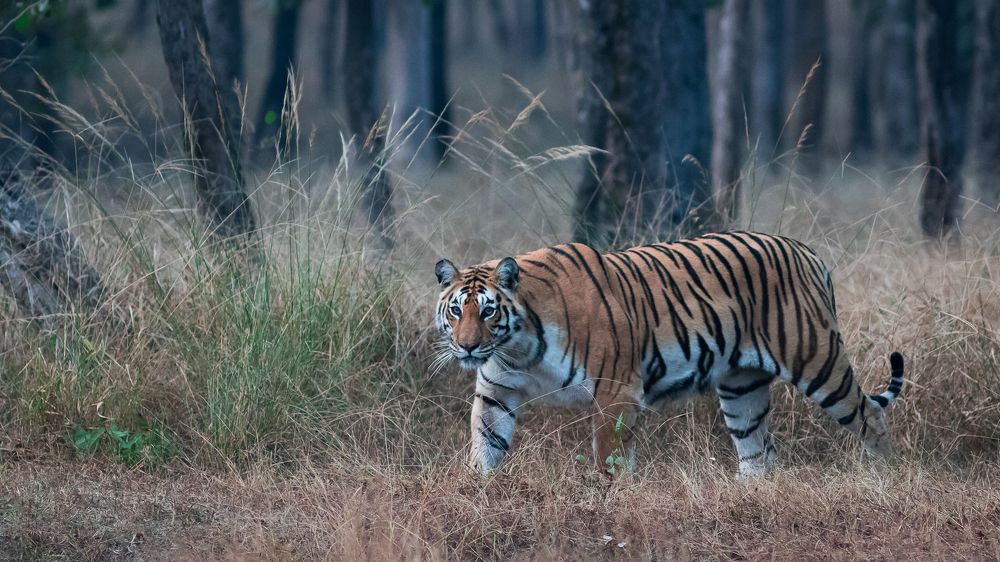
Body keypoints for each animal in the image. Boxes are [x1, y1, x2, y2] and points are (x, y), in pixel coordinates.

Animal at [433, 231, 905, 478]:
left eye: (488, 311)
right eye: (456, 310)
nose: (468, 346)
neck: (519, 346)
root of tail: (807, 251)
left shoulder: (615, 390)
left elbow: (608, 452)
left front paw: (605, 493)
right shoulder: (496, 391)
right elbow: (486, 441)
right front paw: (478, 489)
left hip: (817, 359)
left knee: (868, 413)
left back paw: (885, 476)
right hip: (741, 387)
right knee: (758, 450)